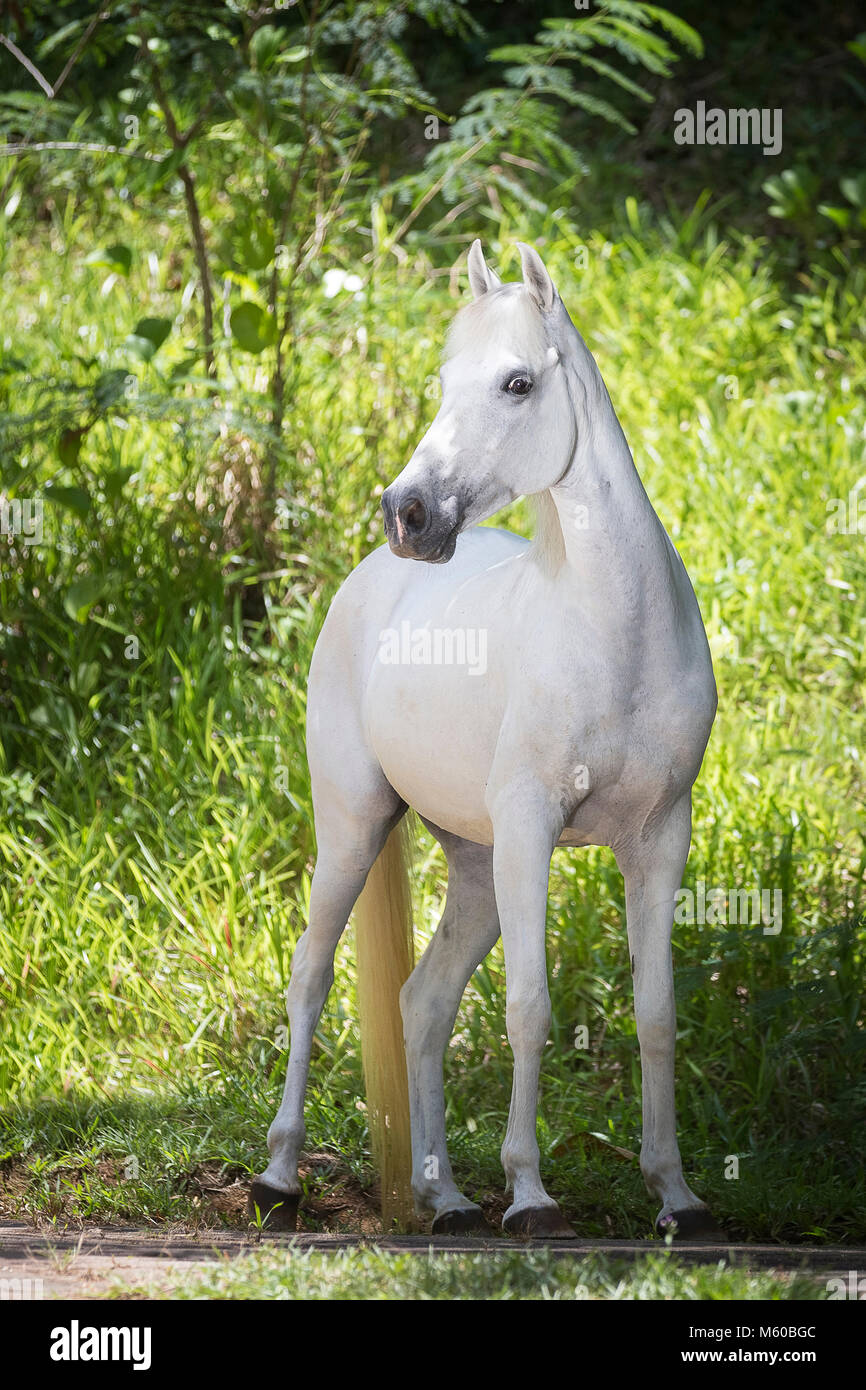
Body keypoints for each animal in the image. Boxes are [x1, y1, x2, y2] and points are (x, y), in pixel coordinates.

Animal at [248, 239, 717, 1239]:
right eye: (442, 382)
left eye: (517, 382)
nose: (409, 512)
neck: (616, 638)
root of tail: (367, 578)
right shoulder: (533, 832)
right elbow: (529, 1009)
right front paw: (532, 1195)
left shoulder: (660, 840)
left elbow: (657, 1016)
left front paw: (676, 1195)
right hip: (355, 829)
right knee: (310, 975)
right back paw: (278, 1176)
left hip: (473, 865)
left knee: (423, 1003)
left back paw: (446, 1197)